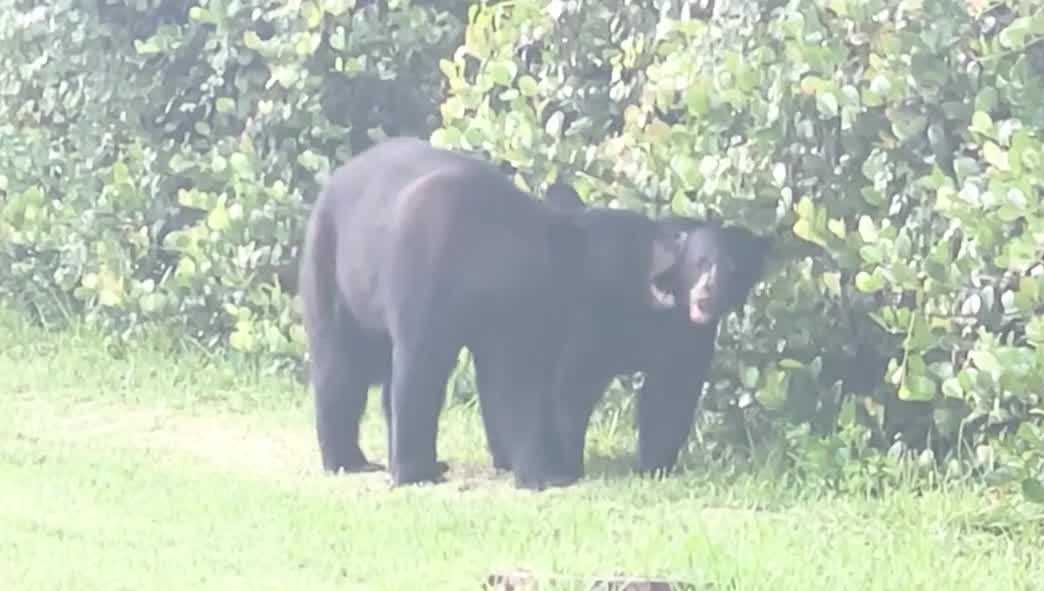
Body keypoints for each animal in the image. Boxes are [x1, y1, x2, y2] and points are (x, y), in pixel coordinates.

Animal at [297, 137, 683, 490]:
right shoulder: (428, 272)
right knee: (339, 363)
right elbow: (422, 365)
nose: (679, 243)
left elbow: (517, 384)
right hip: (328, 264)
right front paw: (413, 474)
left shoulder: (513, 313)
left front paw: (541, 472)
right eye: (645, 235)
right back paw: (351, 460)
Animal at [543, 189, 772, 480]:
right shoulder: (601, 308)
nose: (707, 294)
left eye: (733, 269)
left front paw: (654, 467)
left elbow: (670, 393)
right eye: (701, 263)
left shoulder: (688, 335)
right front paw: (567, 466)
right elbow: (576, 378)